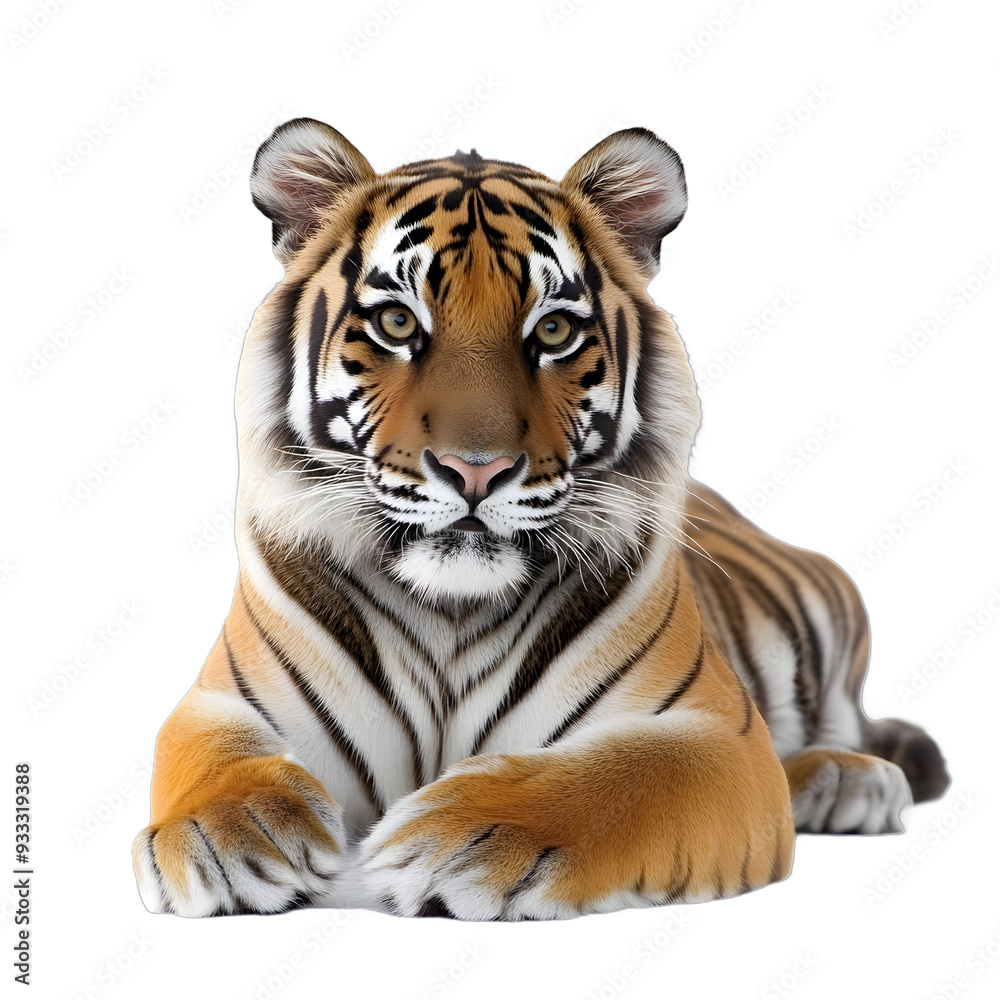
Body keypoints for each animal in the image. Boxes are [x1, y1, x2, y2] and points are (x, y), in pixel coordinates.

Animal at [132, 119, 950, 920]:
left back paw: (850, 780)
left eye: (553, 332)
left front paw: (456, 837)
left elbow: (619, 776)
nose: (475, 470)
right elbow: (210, 758)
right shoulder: (219, 699)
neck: (451, 612)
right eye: (396, 321)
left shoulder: (718, 733)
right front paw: (230, 830)